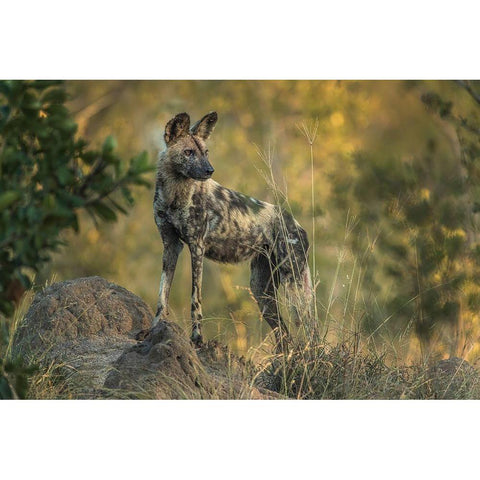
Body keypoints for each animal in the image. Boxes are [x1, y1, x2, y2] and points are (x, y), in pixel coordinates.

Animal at [152, 110, 314, 346]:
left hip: (294, 283)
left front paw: (197, 339)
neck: (175, 194)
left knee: (310, 329)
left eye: (206, 152)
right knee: (284, 336)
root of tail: (296, 223)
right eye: (188, 152)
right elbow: (162, 294)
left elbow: (195, 299)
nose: (209, 170)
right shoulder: (171, 245)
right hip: (261, 292)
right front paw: (153, 329)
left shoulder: (196, 247)